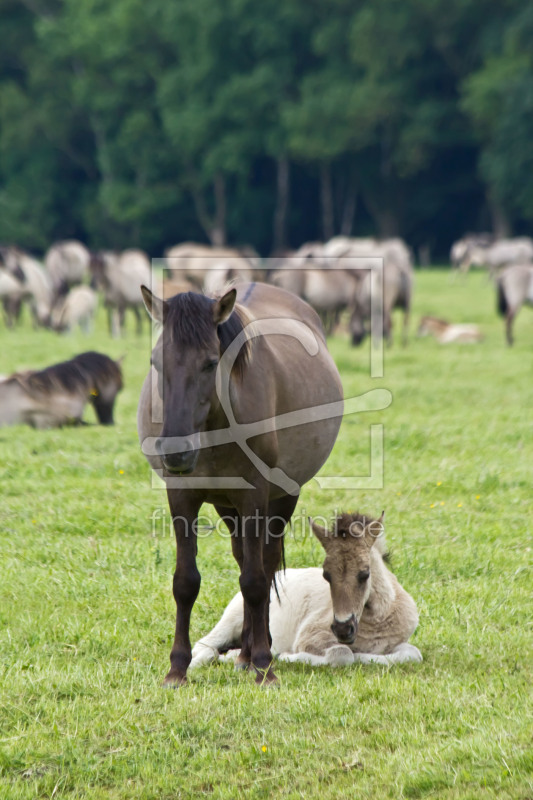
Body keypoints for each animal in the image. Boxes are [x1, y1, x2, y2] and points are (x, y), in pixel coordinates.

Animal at [137, 282, 342, 688]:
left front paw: (264, 665)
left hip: (281, 496)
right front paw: (177, 668)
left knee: (264, 562)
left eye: (210, 362)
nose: (175, 452)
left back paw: (253, 653)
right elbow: (185, 582)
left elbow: (256, 580)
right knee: (243, 556)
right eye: (156, 362)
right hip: (226, 505)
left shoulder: (255, 496)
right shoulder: (182, 497)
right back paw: (245, 652)